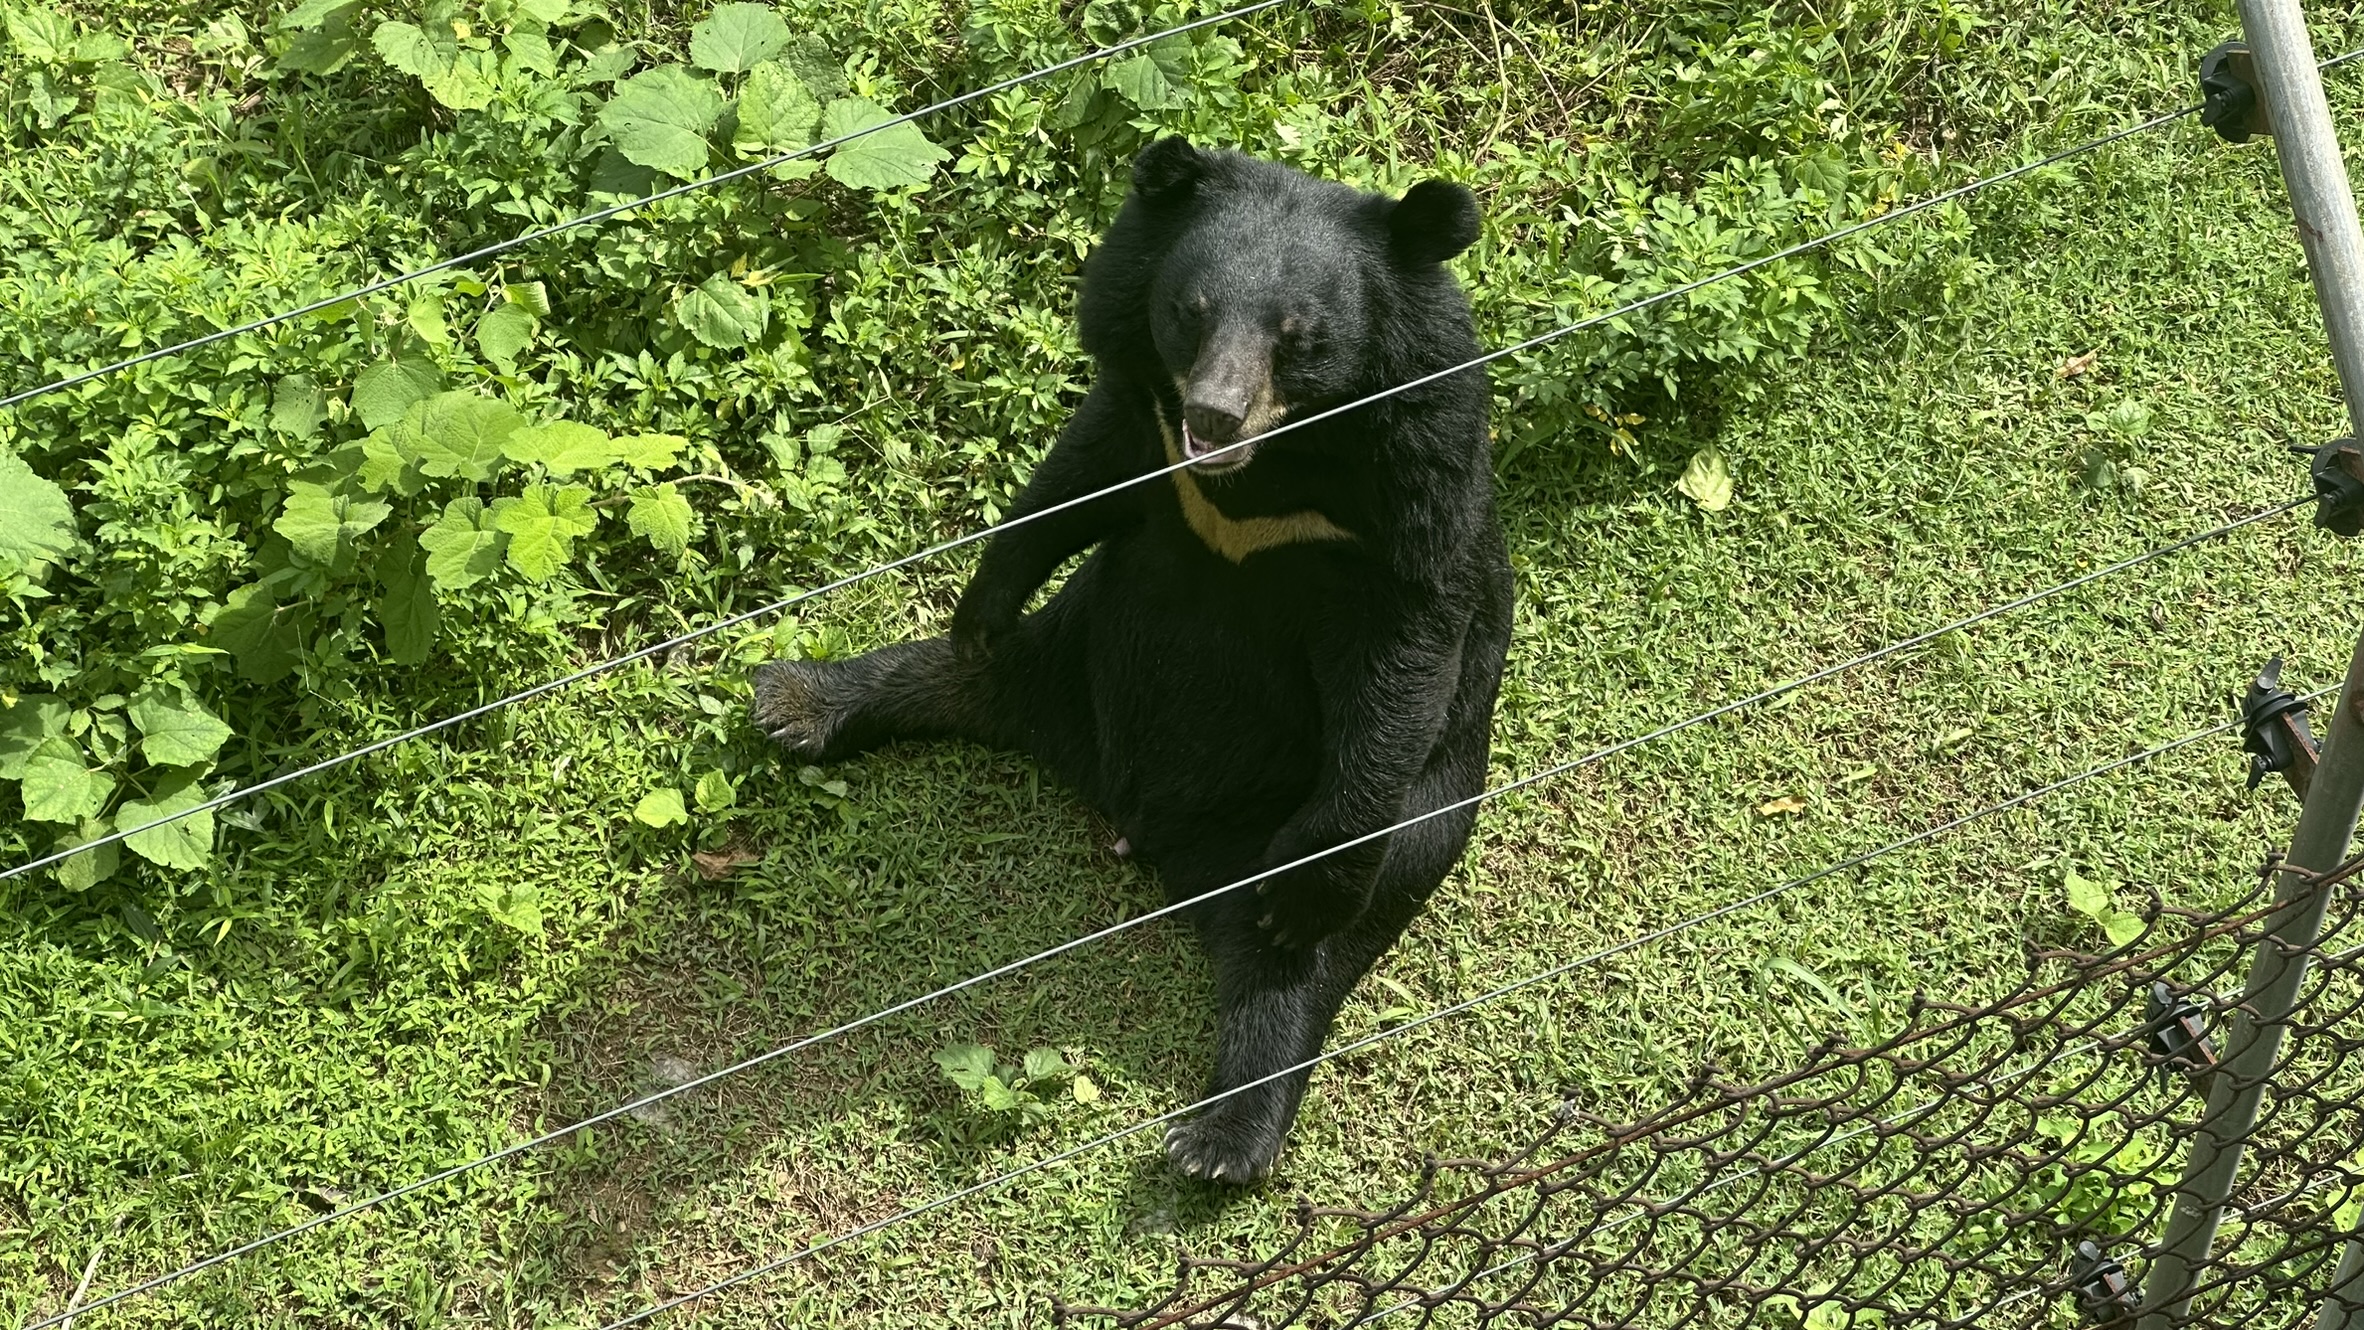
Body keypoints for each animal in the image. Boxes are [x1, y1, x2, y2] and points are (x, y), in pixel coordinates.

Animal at [752, 137, 1512, 1184]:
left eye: (1299, 336)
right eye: (1190, 309)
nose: (1216, 415)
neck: (1267, 472)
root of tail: (1141, 819)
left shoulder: (1414, 488)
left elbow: (1400, 664)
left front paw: (1307, 893)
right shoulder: (1143, 412)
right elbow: (1076, 477)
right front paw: (983, 599)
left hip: (1409, 814)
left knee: (1298, 966)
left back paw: (1223, 1137)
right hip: (1071, 649)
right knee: (954, 675)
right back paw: (802, 698)